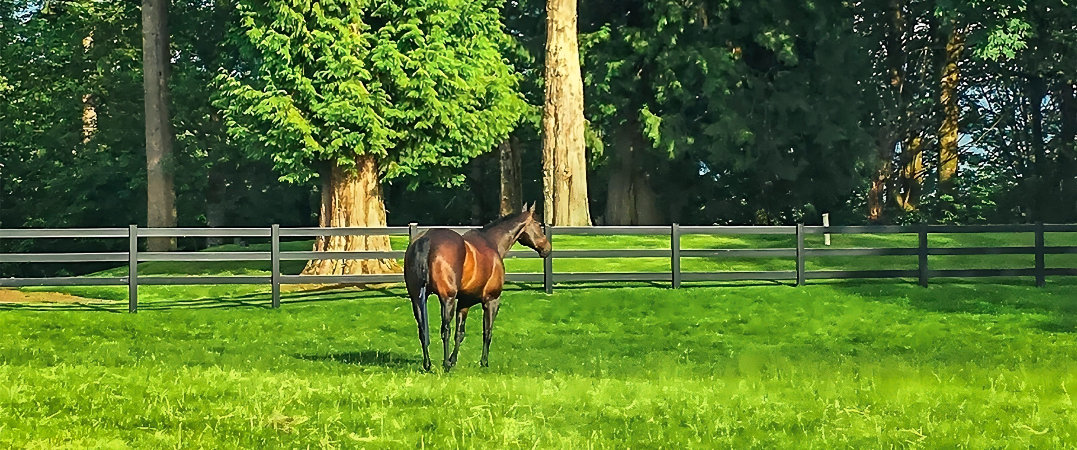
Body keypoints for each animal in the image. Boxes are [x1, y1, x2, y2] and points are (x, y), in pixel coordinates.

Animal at [403, 203, 551, 371]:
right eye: (538, 224)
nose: (547, 248)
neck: (492, 243)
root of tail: (427, 239)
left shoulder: (464, 302)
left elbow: (460, 333)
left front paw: (454, 360)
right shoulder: (492, 300)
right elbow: (487, 332)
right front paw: (483, 362)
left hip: (416, 299)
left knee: (422, 330)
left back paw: (428, 364)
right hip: (447, 299)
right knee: (445, 330)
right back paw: (445, 365)